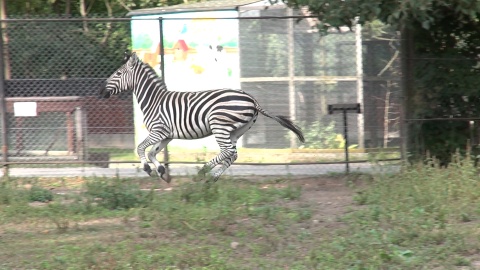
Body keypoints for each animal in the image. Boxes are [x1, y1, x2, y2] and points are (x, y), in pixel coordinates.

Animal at [99, 51, 306, 182]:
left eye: (118, 73)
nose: (101, 92)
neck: (154, 101)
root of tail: (252, 99)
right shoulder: (167, 135)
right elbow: (151, 152)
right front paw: (162, 172)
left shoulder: (159, 131)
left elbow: (141, 148)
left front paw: (148, 169)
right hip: (237, 130)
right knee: (233, 153)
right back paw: (212, 177)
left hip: (219, 125)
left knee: (227, 151)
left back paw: (203, 171)